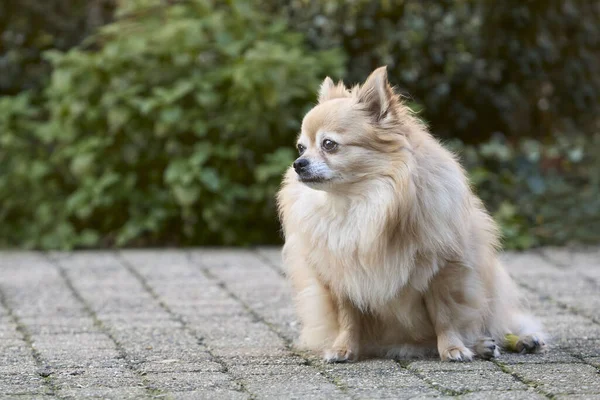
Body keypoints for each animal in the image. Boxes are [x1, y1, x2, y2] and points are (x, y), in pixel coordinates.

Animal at [278, 66, 548, 362]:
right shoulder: (341, 276)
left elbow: (444, 314)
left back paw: (513, 341)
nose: (298, 164)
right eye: (301, 147)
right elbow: (348, 318)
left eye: (329, 144)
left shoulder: (443, 270)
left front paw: (453, 347)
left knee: (494, 322)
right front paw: (342, 348)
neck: (360, 202)